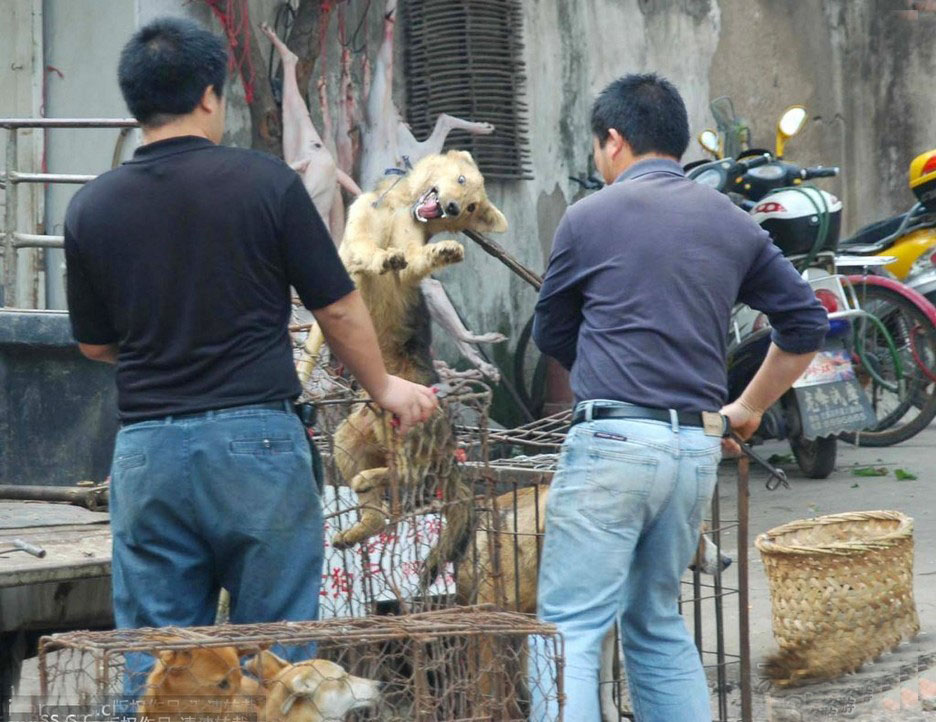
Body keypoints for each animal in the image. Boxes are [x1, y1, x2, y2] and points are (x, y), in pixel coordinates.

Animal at [308, 149, 508, 560]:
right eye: (461, 181)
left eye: (470, 207)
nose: (452, 207)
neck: (400, 207)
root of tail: (448, 444)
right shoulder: (355, 241)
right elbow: (368, 252)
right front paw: (383, 258)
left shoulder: (413, 254)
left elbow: (415, 260)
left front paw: (441, 251)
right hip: (350, 440)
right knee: (382, 506)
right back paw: (360, 524)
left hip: (406, 435)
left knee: (404, 478)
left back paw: (370, 482)